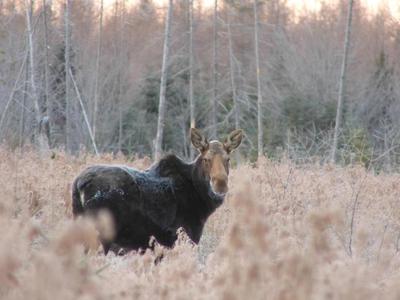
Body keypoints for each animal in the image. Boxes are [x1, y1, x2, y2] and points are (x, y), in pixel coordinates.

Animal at [71, 127, 244, 254]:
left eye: (228, 159)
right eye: (206, 159)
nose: (220, 184)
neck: (201, 200)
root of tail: (79, 183)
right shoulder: (183, 237)